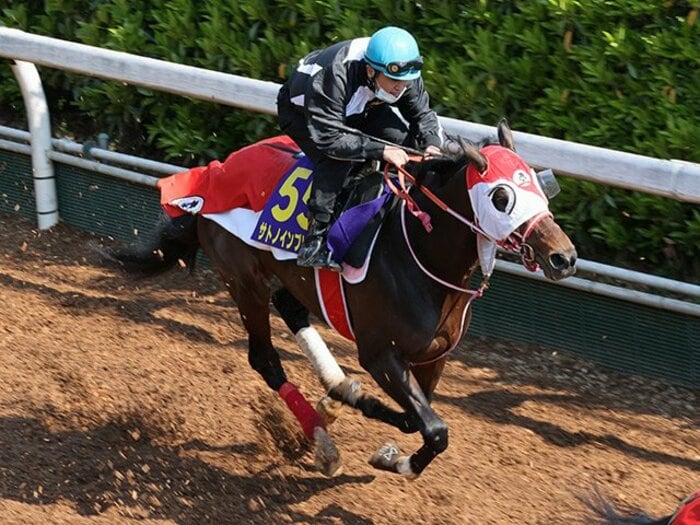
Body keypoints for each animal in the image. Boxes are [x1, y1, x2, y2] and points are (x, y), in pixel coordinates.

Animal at [105, 120, 577, 479]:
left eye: (539, 188)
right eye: (501, 197)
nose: (564, 256)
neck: (421, 255)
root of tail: (212, 173)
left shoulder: (433, 357)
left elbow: (418, 419)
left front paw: (375, 431)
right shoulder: (380, 353)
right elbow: (434, 428)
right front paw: (397, 458)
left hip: (284, 277)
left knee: (292, 308)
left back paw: (335, 392)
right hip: (244, 281)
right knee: (264, 358)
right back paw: (323, 439)